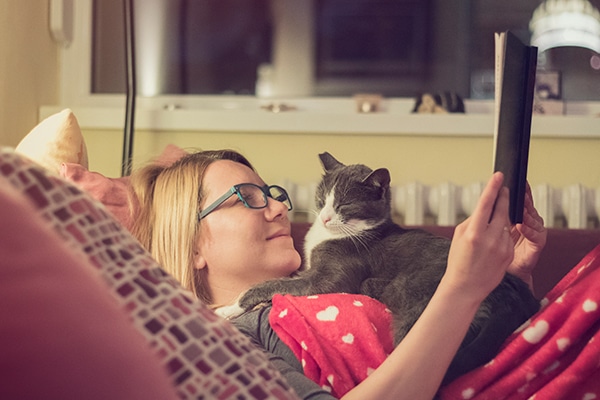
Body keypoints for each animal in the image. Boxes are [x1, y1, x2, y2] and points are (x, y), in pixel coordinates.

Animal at [238, 151, 540, 382]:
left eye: (344, 205)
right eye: (321, 199)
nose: (324, 217)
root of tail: (510, 298)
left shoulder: (332, 277)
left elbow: (284, 283)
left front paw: (240, 300)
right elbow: (288, 279)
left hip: (416, 306)